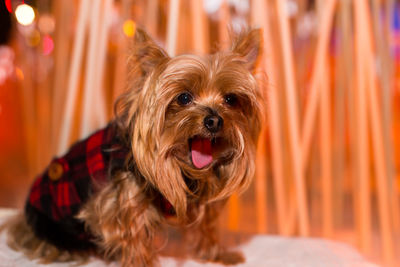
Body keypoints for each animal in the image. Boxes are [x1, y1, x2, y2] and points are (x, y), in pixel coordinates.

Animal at [4, 28, 264, 266]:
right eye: (183, 98)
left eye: (230, 99)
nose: (214, 120)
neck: (183, 170)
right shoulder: (118, 200)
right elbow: (129, 233)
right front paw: (140, 261)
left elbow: (204, 227)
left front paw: (217, 254)